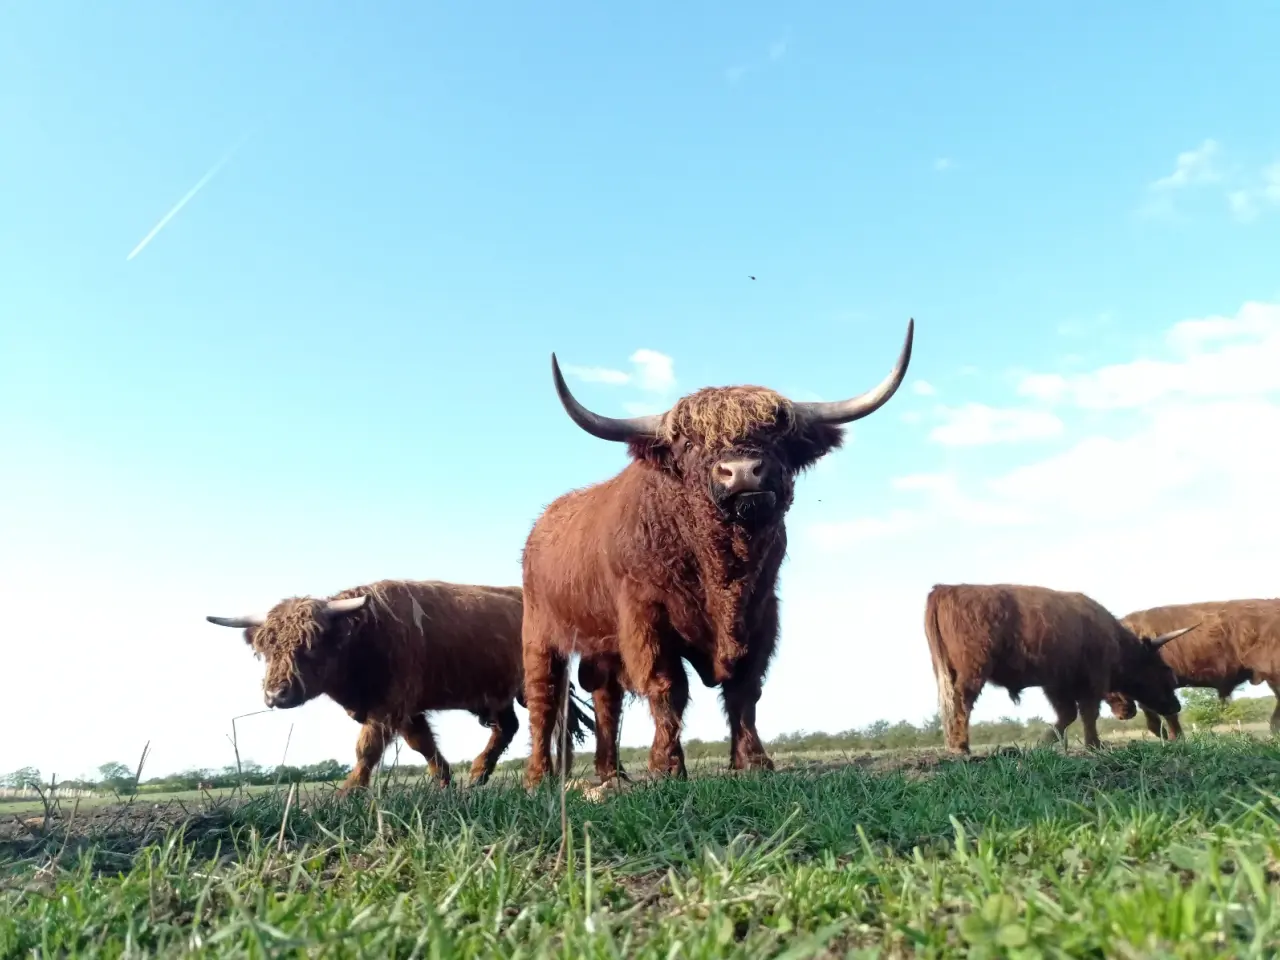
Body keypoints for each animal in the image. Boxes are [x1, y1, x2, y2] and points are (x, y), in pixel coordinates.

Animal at [206, 579, 592, 793]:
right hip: (497, 692)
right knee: (507, 727)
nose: (275, 694)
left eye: (311, 646)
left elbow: (367, 748)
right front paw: (444, 781)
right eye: (264, 650)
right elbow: (422, 744)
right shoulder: (405, 709)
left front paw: (349, 792)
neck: (363, 637)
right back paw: (478, 775)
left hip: (537, 684)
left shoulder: (390, 704)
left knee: (555, 723)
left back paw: (556, 774)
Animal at [520, 319, 915, 788]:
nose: (741, 472)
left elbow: (745, 689)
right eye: (690, 444)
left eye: (775, 434)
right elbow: (667, 686)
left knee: (605, 699)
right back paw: (538, 778)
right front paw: (666, 767)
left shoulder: (762, 613)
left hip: (602, 645)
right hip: (539, 636)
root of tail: (540, 525)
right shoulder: (645, 617)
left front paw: (753, 761)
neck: (721, 569)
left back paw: (612, 773)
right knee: (544, 700)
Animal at [923, 583, 1200, 753]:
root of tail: (945, 589)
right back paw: (960, 746)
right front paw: (1094, 745)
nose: (1176, 706)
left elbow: (1067, 715)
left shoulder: (1056, 684)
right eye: (1164, 670)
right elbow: (1088, 713)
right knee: (961, 703)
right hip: (972, 671)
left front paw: (1042, 743)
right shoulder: (1093, 679)